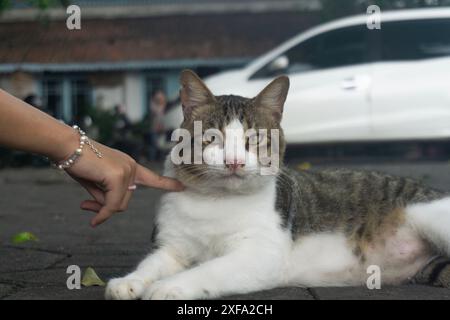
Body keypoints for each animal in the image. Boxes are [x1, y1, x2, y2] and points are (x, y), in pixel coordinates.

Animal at [104, 70, 450, 300]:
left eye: (254, 138)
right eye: (212, 137)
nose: (234, 162)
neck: (215, 201)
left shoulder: (260, 255)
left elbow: (209, 269)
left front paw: (170, 286)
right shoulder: (174, 247)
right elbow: (153, 263)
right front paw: (131, 281)